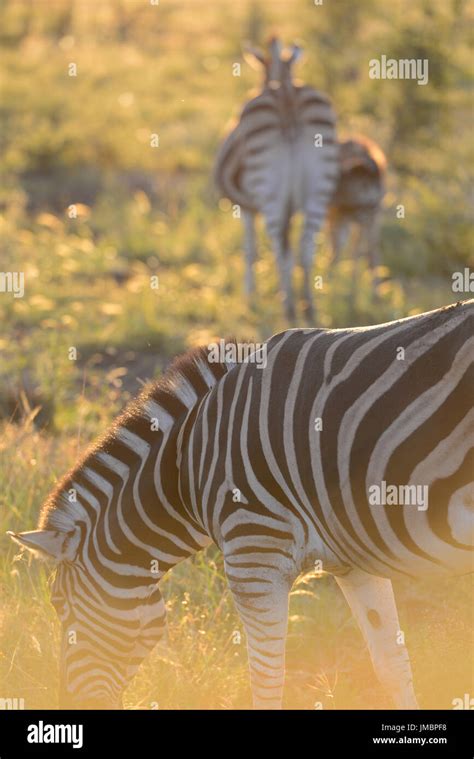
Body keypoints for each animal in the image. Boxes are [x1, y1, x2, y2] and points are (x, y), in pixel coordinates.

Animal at [8, 298, 474, 712]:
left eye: (59, 606)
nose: (68, 704)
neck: (187, 467)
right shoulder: (353, 562)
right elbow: (391, 665)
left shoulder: (254, 554)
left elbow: (266, 682)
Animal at [215, 37, 340, 322]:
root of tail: (286, 94)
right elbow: (291, 248)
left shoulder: (246, 208)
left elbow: (250, 251)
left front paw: (249, 297)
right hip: (320, 184)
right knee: (305, 249)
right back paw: (308, 306)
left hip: (267, 186)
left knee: (279, 248)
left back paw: (289, 308)